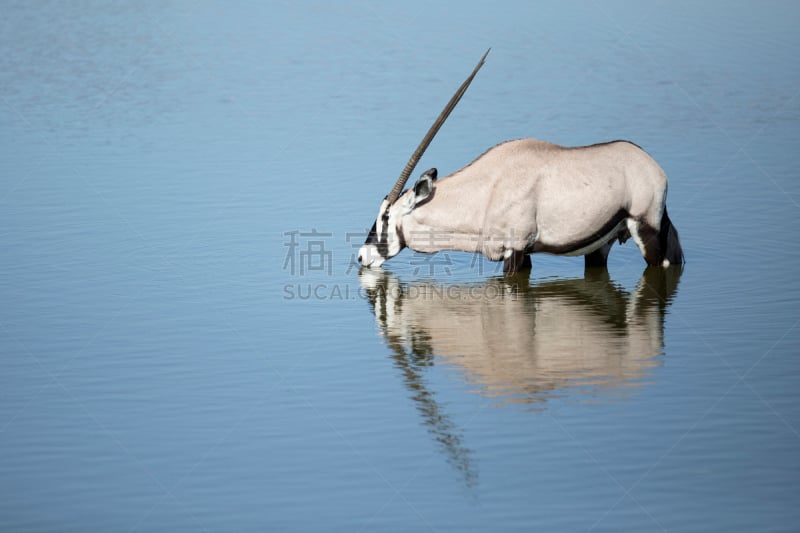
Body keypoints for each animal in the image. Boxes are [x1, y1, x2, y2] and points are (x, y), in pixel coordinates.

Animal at [360, 50, 684, 274]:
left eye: (385, 217)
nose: (362, 256)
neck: (486, 192)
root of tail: (654, 166)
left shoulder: (515, 250)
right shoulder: (521, 254)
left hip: (646, 230)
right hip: (600, 246)